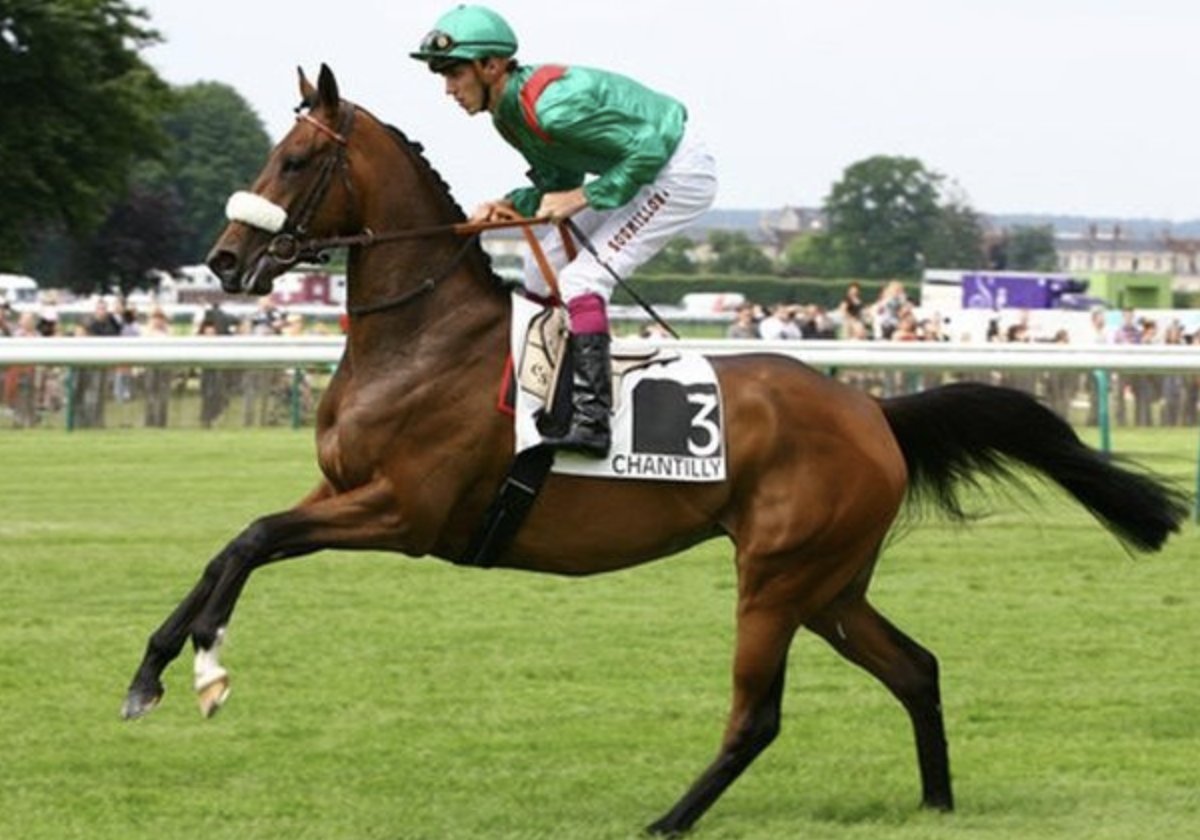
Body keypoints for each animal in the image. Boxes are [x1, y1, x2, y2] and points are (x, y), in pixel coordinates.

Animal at [121, 65, 1189, 835]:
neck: (423, 338)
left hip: (779, 576)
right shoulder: (337, 489)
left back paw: (668, 821)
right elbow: (232, 546)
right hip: (830, 583)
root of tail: (872, 410)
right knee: (916, 667)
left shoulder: (404, 511)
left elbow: (254, 540)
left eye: (299, 159)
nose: (224, 261)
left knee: (758, 716)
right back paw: (936, 805)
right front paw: (154, 673)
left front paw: (208, 670)